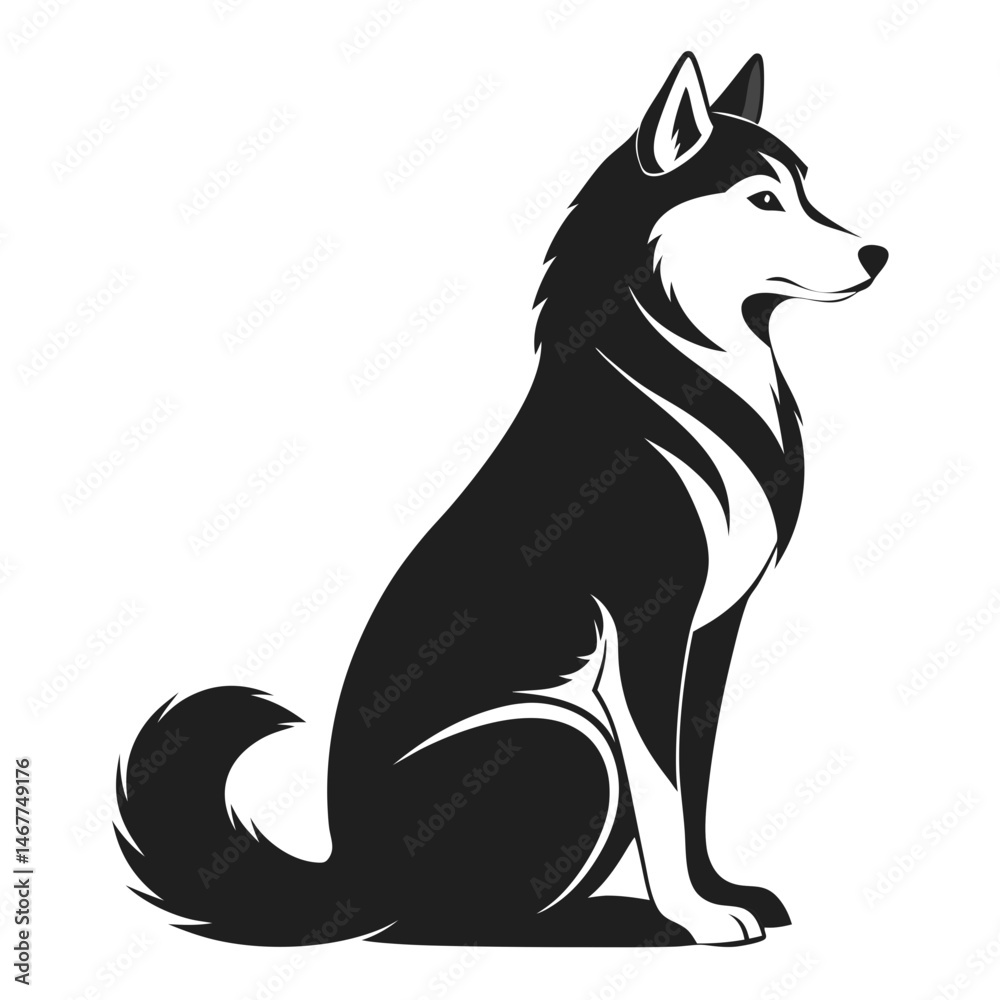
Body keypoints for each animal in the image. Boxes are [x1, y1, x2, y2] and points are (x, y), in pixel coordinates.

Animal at [116, 52, 887, 948]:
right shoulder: (649, 629)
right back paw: (614, 921)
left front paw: (719, 891)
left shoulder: (712, 632)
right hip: (565, 737)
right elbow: (664, 789)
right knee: (456, 917)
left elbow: (692, 783)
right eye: (764, 200)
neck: (683, 375)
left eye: (806, 191)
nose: (879, 253)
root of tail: (353, 876)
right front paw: (695, 916)